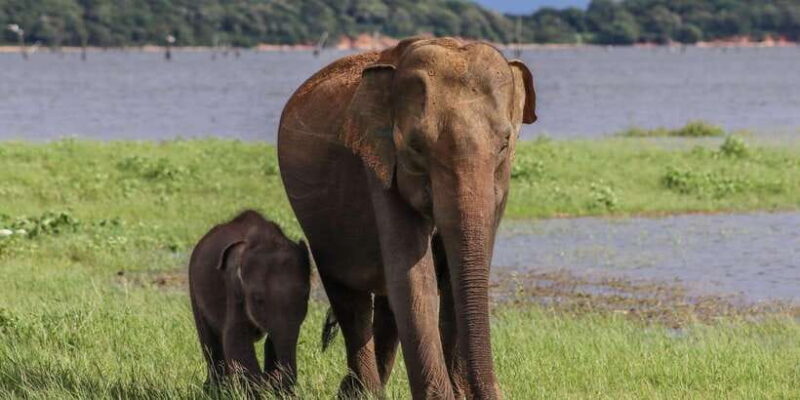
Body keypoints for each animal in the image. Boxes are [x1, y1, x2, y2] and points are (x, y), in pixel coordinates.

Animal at [188, 210, 311, 394]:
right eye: (258, 299)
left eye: (305, 296)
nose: (275, 382)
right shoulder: (233, 291)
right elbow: (235, 339)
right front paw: (259, 391)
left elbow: (273, 340)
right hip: (194, 289)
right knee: (210, 341)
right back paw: (217, 390)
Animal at [278, 37, 536, 399]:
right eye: (415, 146)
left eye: (504, 143)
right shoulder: (379, 166)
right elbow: (415, 276)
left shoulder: (501, 185)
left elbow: (458, 275)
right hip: (320, 228)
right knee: (351, 302)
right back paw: (363, 393)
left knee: (386, 307)